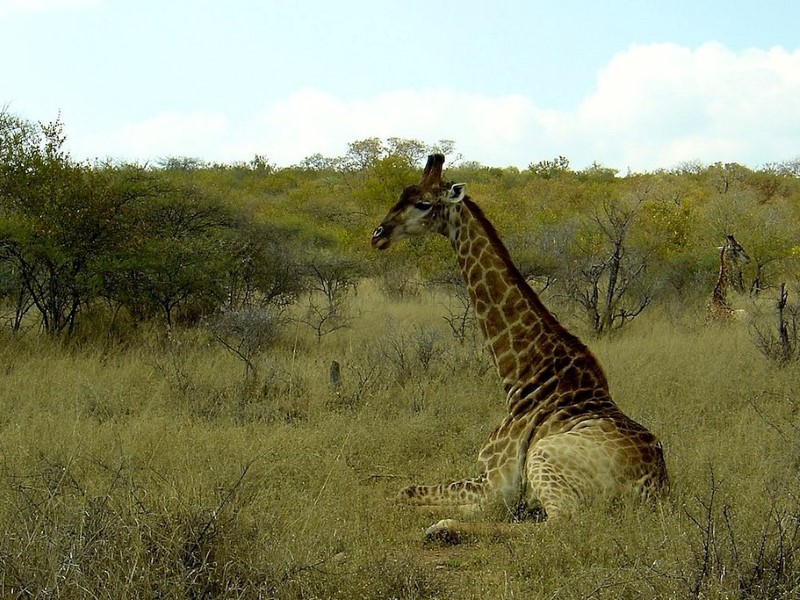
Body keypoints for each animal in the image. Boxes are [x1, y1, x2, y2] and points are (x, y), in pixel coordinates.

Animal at [370, 155, 668, 544]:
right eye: (401, 194)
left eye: (422, 203)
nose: (378, 234)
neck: (523, 375)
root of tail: (654, 485)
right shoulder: (487, 483)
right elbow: (404, 492)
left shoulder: (495, 484)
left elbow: (403, 495)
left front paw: (433, 518)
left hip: (544, 457)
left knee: (560, 523)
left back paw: (442, 528)